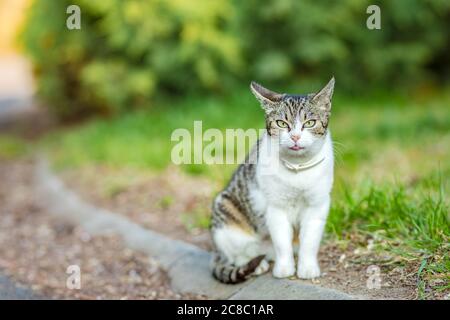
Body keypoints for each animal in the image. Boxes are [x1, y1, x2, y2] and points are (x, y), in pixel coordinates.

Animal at [210, 77, 334, 282]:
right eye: (281, 123)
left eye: (309, 123)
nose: (295, 136)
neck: (297, 168)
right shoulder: (276, 207)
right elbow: (282, 241)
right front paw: (284, 269)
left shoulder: (317, 205)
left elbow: (310, 241)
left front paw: (307, 267)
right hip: (225, 217)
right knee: (237, 254)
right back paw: (255, 264)